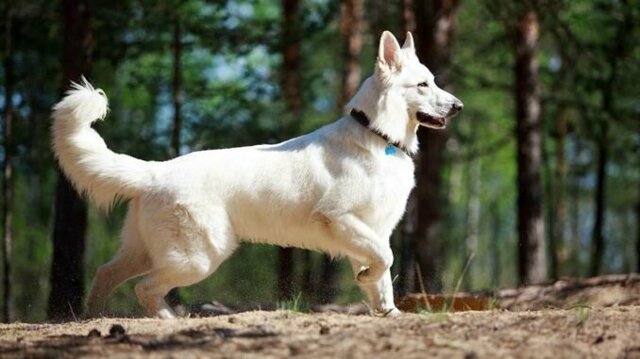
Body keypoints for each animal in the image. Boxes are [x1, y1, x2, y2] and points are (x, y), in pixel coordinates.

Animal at [50, 31, 460, 318]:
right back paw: (167, 320)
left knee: (106, 274)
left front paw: (386, 310)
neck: (377, 135)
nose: (458, 106)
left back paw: (92, 318)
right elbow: (385, 260)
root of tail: (154, 171)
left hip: (147, 251)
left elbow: (382, 275)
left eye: (433, 81)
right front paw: (369, 283)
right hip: (199, 257)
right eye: (423, 85)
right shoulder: (342, 219)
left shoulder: (373, 229)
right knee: (145, 289)